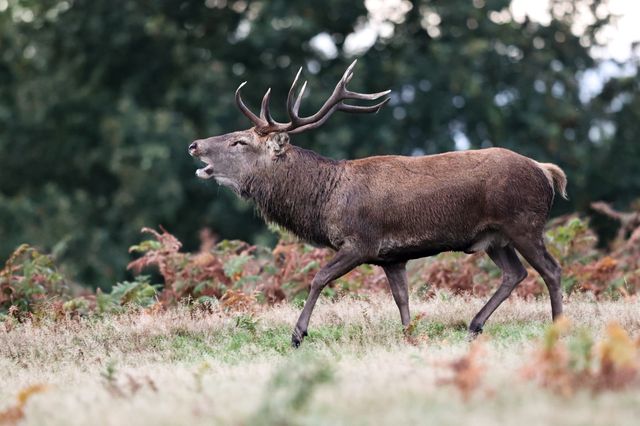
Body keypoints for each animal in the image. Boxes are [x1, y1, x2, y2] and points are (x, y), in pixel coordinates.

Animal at [188, 60, 568, 347]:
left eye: (239, 142)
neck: (326, 200)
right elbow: (402, 298)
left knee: (551, 270)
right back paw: (474, 326)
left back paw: (557, 328)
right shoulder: (392, 257)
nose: (194, 145)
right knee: (515, 273)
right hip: (494, 237)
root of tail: (547, 172)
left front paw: (297, 334)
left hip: (524, 223)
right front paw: (409, 336)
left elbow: (318, 278)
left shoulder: (361, 242)